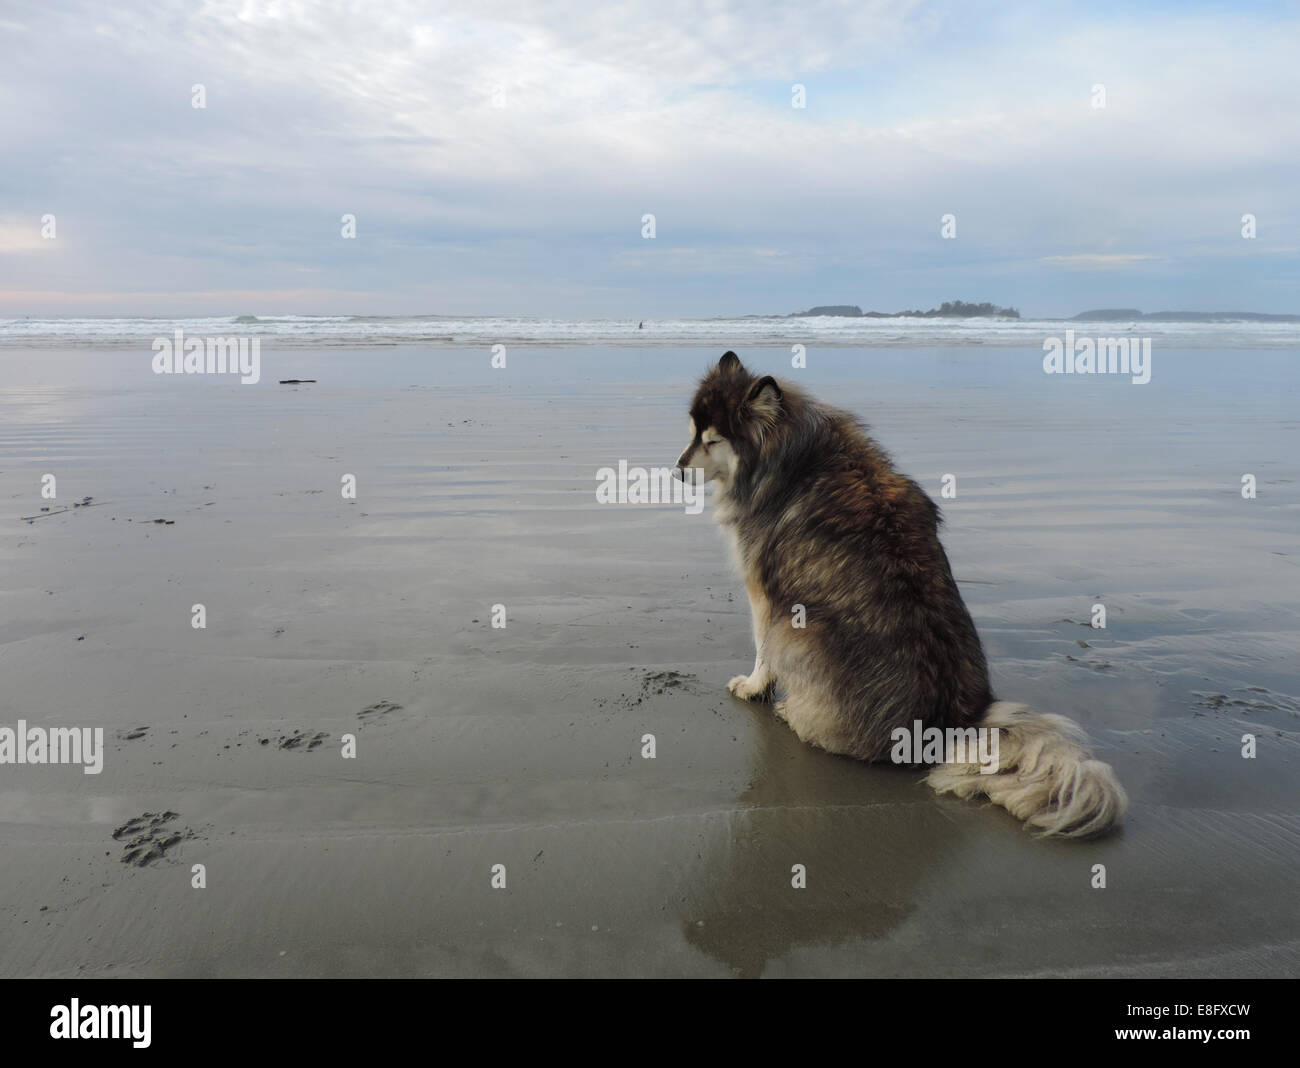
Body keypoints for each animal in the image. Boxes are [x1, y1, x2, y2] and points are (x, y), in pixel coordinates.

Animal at [681, 350, 1128, 836]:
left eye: (711, 440)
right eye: (692, 431)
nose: (677, 470)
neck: (788, 455)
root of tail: (949, 726)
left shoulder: (764, 593)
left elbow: (761, 650)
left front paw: (753, 687)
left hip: (797, 630)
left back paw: (793, 714)